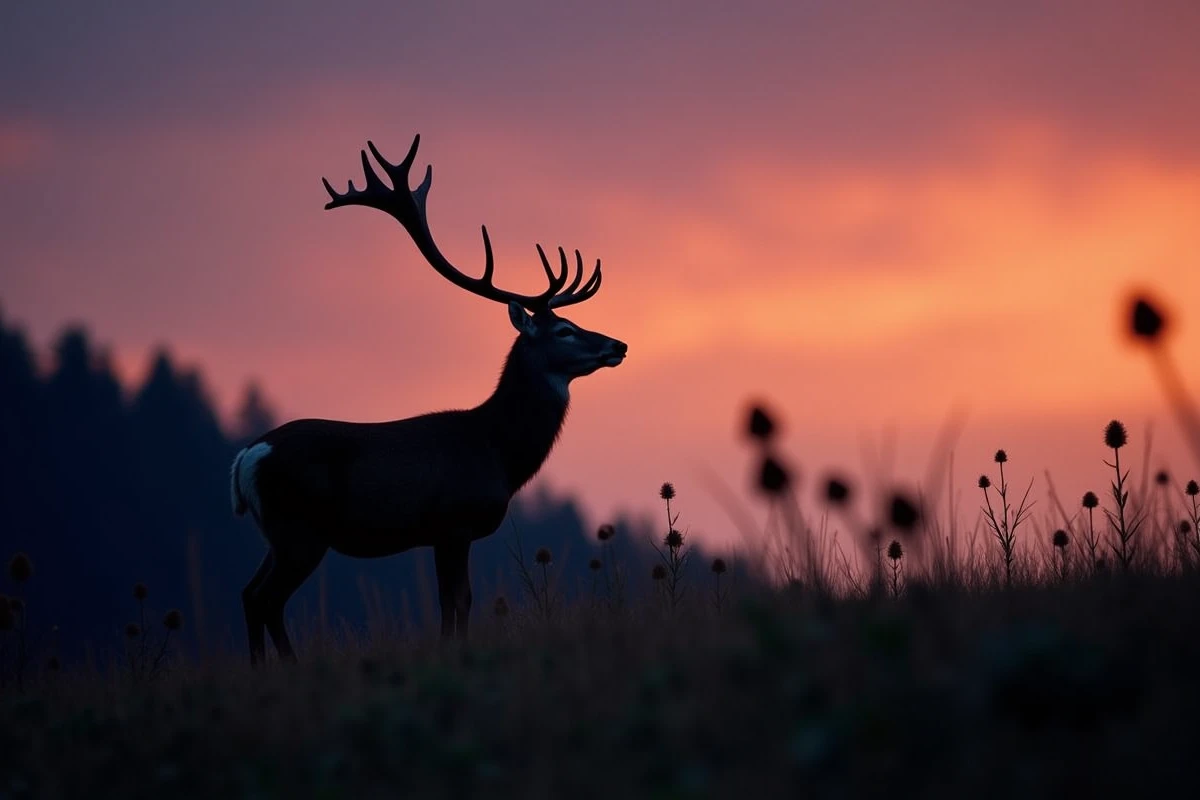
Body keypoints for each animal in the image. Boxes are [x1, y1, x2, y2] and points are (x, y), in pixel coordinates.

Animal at [229, 135, 627, 664]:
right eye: (564, 330)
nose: (618, 345)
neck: (498, 451)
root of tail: (247, 458)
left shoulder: (442, 533)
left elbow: (452, 600)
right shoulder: (454, 521)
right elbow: (458, 600)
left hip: (277, 533)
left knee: (250, 593)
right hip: (300, 528)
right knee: (267, 598)